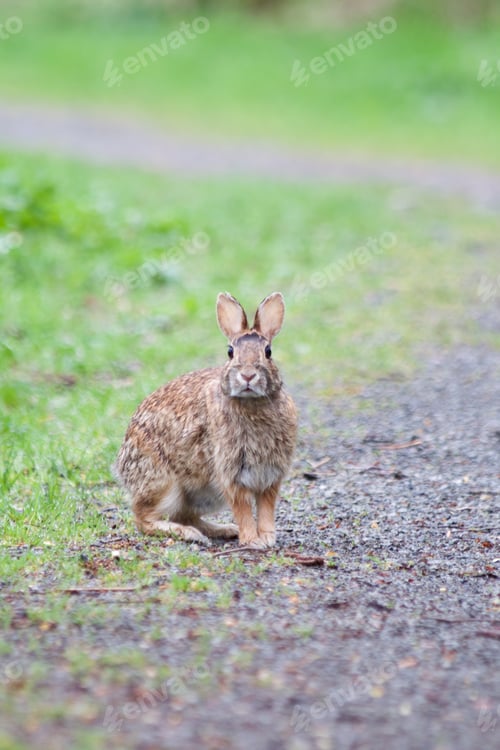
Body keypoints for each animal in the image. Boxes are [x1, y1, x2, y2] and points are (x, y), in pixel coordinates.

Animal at [113, 292, 297, 548]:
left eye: (268, 351)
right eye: (230, 352)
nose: (247, 375)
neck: (251, 404)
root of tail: (122, 465)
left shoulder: (270, 475)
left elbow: (266, 507)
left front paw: (268, 537)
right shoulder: (230, 470)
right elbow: (242, 507)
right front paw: (253, 541)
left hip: (203, 495)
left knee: (186, 515)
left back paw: (223, 530)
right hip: (164, 484)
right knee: (143, 519)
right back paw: (189, 533)